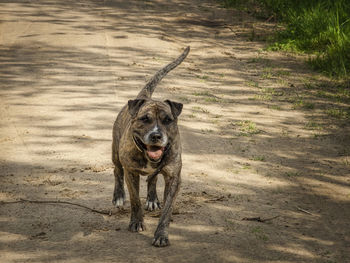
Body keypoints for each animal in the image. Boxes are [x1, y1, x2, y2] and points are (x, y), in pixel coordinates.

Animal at [112, 47, 190, 248]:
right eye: (144, 119)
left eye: (168, 120)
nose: (156, 135)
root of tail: (143, 96)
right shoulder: (131, 172)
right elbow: (135, 200)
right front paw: (136, 222)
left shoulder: (174, 179)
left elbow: (167, 211)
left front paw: (161, 234)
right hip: (115, 153)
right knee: (117, 171)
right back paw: (118, 196)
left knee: (153, 178)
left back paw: (153, 199)